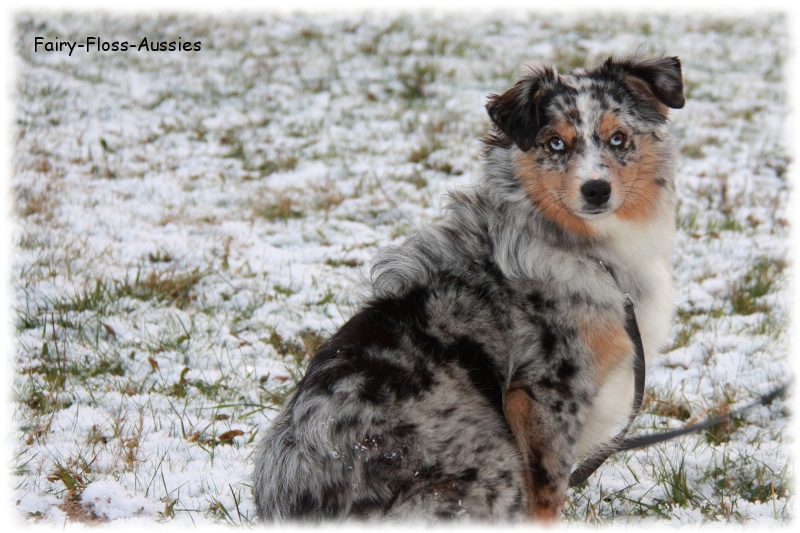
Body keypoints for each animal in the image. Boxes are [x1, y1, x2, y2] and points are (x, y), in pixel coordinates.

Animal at [253, 56, 684, 520]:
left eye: (618, 137)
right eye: (555, 144)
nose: (596, 190)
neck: (585, 250)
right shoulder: (546, 397)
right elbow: (546, 503)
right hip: (491, 466)